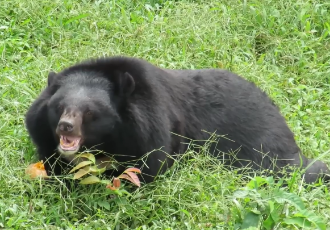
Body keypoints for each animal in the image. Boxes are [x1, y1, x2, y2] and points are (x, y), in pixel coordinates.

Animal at [24, 55, 328, 185]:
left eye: (89, 113)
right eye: (60, 108)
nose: (65, 126)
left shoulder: (152, 132)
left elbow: (149, 165)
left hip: (261, 151)